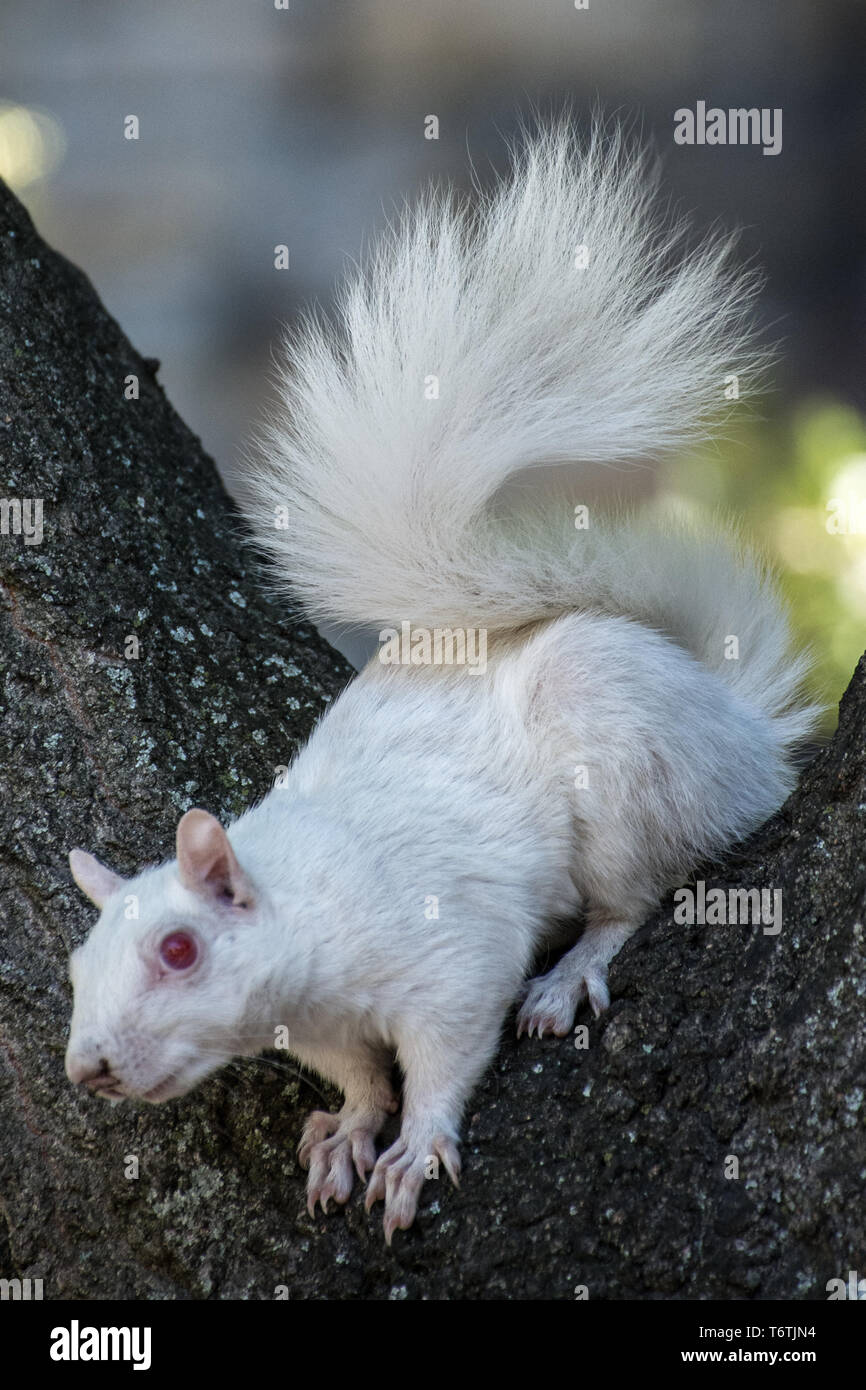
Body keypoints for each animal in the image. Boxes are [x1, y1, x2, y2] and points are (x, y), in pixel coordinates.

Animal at [65, 123, 818, 1243]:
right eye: (76, 967)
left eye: (180, 951)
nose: (91, 1068)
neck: (308, 906)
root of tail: (740, 726)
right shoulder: (323, 1026)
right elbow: (358, 1074)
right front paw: (347, 1128)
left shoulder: (449, 952)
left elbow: (444, 1054)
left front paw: (415, 1145)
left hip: (624, 754)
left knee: (633, 896)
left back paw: (571, 973)